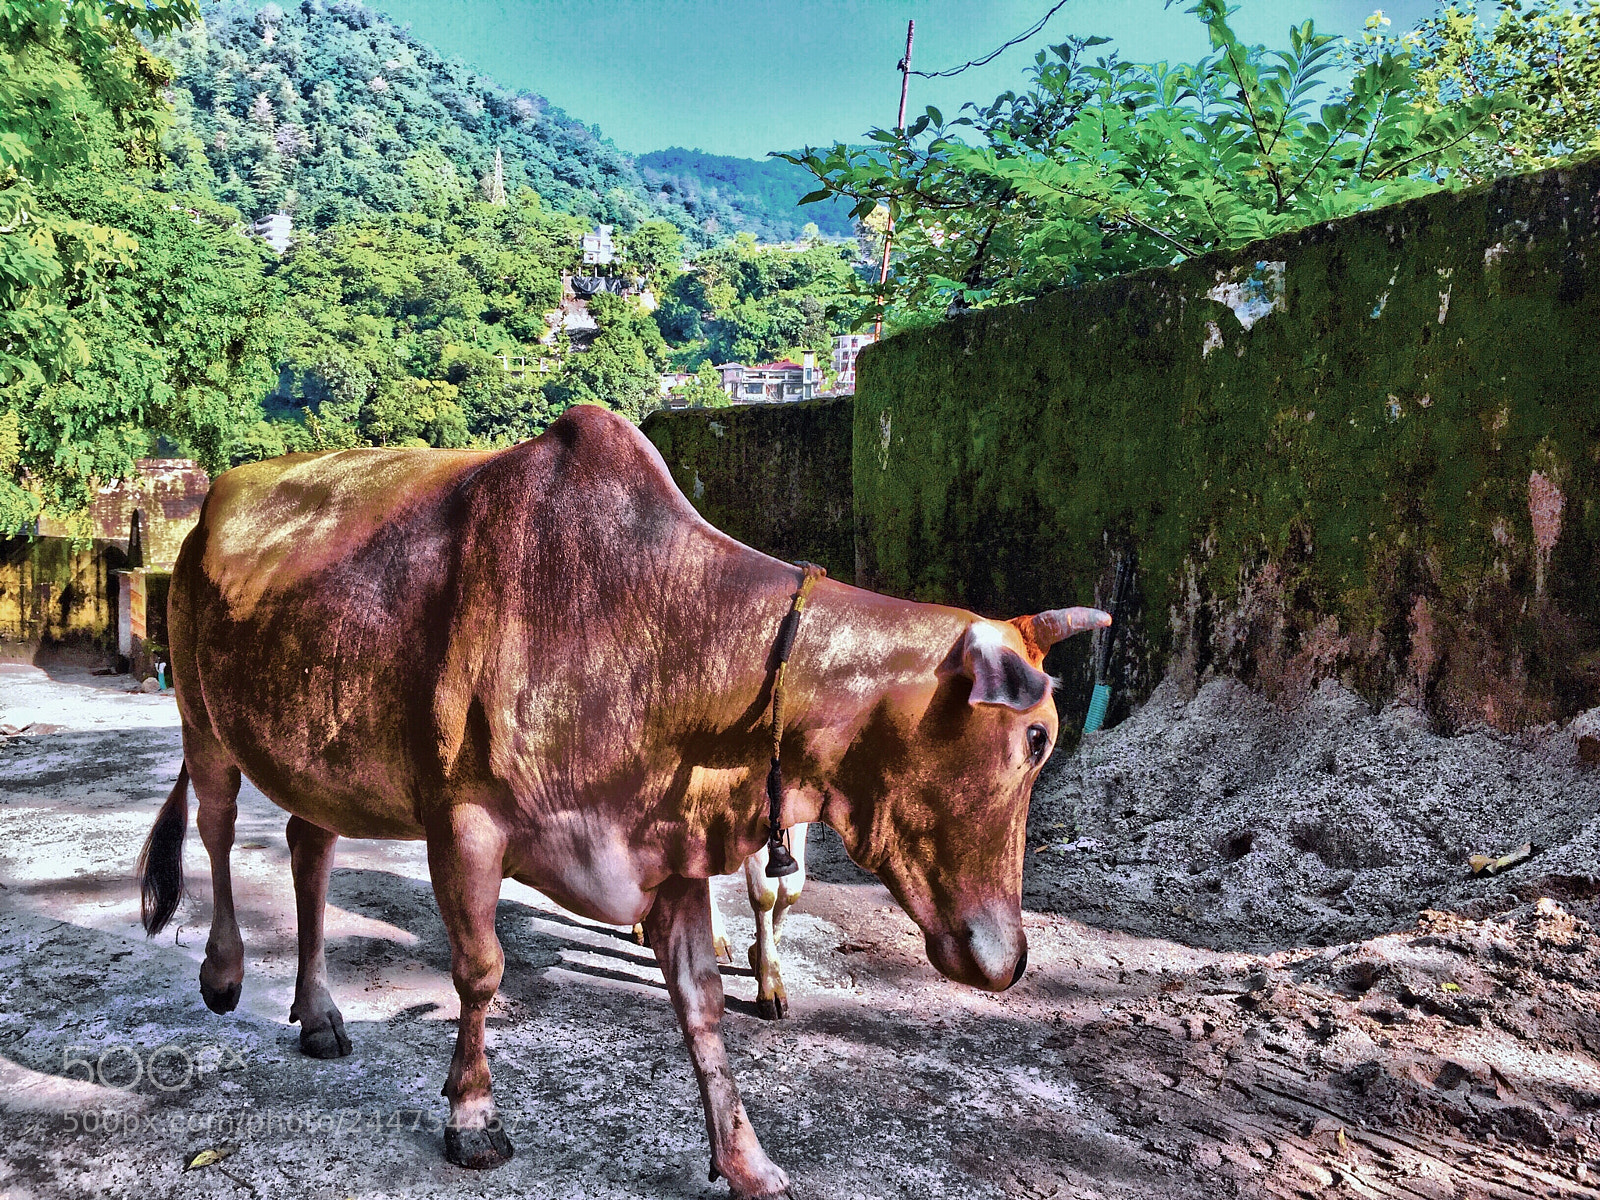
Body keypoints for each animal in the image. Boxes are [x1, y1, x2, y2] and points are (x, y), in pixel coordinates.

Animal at [137, 404, 1108, 1199]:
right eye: (1036, 739)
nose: (1010, 958)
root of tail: (210, 504)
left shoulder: (670, 853)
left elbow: (704, 1006)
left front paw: (746, 1159)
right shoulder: (463, 821)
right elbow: (479, 970)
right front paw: (473, 1116)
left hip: (320, 746)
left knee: (309, 849)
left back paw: (319, 1013)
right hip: (200, 713)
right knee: (218, 826)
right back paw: (226, 972)